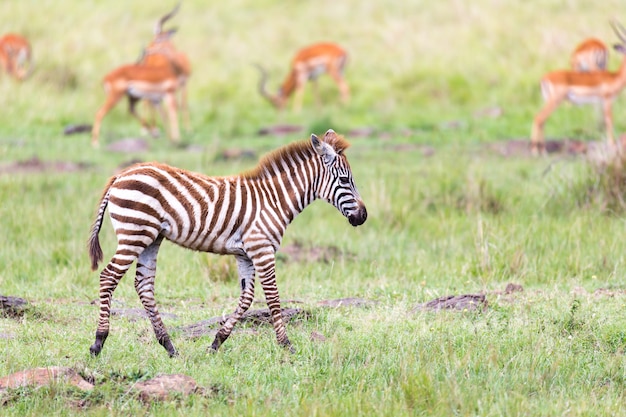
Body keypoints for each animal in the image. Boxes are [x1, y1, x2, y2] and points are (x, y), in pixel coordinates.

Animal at [85, 128, 364, 356]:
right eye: (344, 181)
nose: (363, 216)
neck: (274, 200)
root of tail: (121, 175)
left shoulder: (245, 254)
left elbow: (247, 298)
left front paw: (217, 342)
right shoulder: (262, 249)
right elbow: (273, 298)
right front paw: (287, 346)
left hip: (151, 238)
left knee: (143, 285)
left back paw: (169, 346)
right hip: (134, 233)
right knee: (108, 276)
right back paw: (99, 342)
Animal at [528, 21, 626, 154]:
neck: (615, 77)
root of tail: (544, 78)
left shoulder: (601, 102)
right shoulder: (607, 100)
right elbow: (609, 121)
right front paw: (611, 145)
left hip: (548, 100)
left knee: (541, 120)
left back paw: (542, 150)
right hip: (555, 101)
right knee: (538, 118)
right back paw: (536, 152)